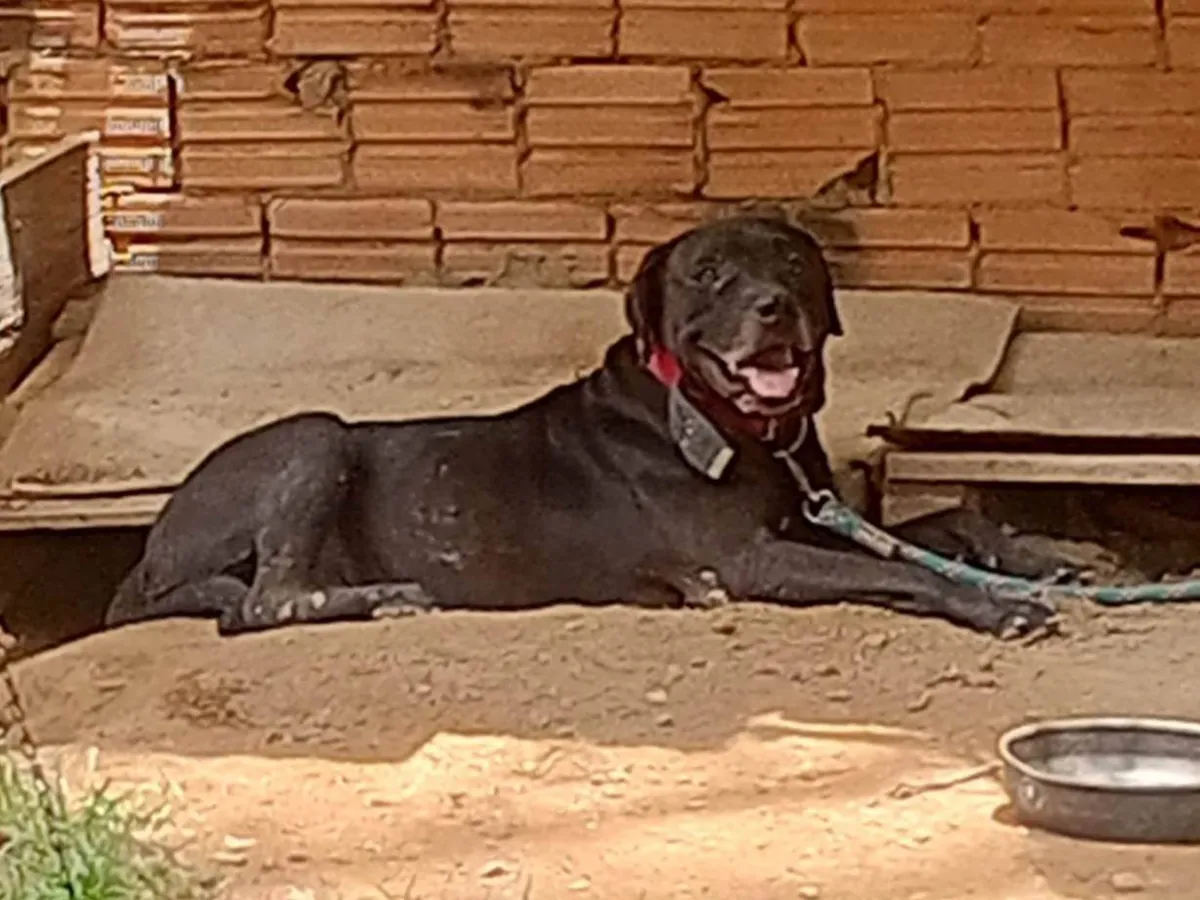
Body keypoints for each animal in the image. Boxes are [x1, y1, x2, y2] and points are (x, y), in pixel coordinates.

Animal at [105, 215, 1060, 638]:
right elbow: (901, 570)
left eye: (792, 260)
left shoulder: (812, 513)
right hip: (316, 434)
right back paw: (384, 597)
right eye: (708, 273)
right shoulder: (749, 560)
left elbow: (940, 523)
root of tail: (148, 556)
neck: (732, 427)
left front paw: (1046, 554)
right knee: (263, 602)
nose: (773, 306)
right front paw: (994, 602)